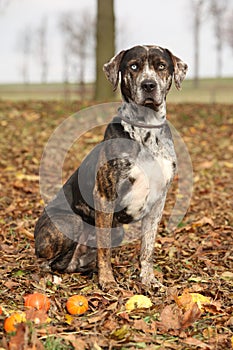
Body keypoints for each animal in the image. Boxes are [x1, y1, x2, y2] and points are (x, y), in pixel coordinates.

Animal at [34, 44, 187, 290]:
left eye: (161, 66)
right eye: (133, 66)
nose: (149, 85)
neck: (146, 129)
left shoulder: (159, 201)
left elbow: (147, 248)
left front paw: (148, 280)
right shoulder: (105, 195)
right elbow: (104, 248)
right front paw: (107, 281)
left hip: (117, 232)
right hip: (69, 223)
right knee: (43, 262)